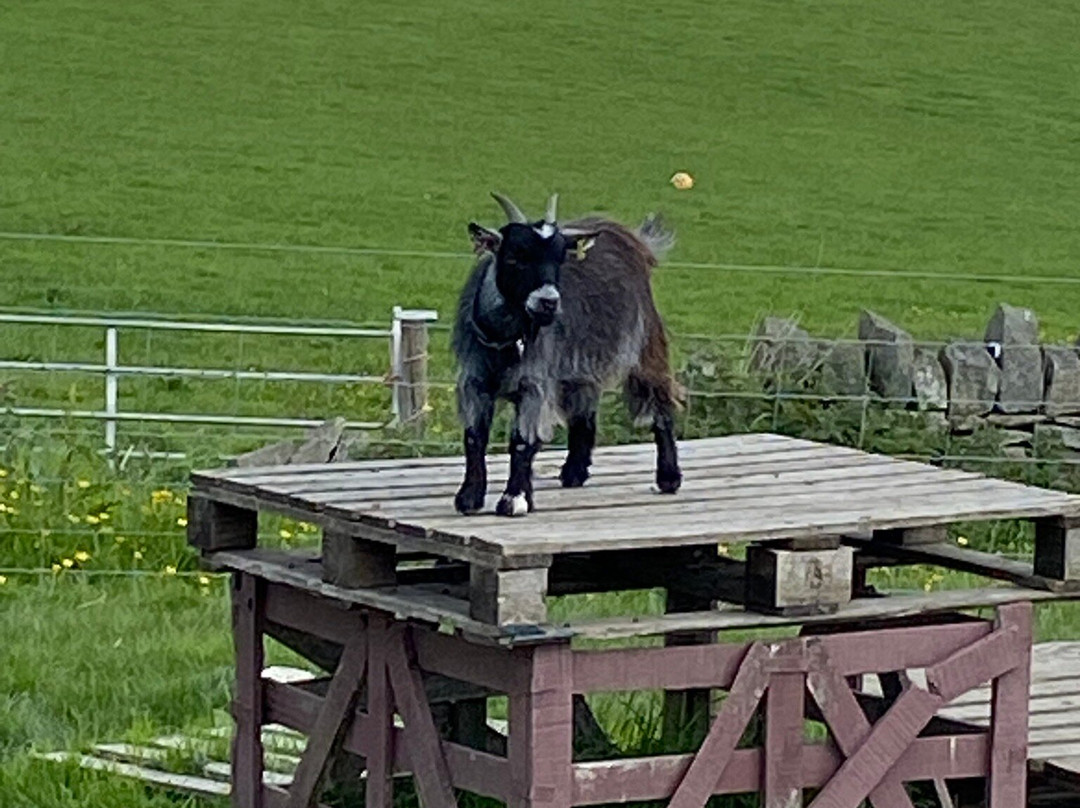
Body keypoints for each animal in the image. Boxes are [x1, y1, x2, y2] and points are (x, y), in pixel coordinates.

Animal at [452, 192, 683, 517]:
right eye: (514, 256)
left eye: (560, 258)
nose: (548, 302)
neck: (506, 339)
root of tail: (631, 237)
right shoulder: (474, 381)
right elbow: (474, 437)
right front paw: (469, 497)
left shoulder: (534, 383)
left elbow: (522, 441)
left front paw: (514, 500)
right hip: (579, 366)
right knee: (584, 413)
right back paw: (574, 473)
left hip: (644, 343)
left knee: (660, 402)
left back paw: (668, 478)